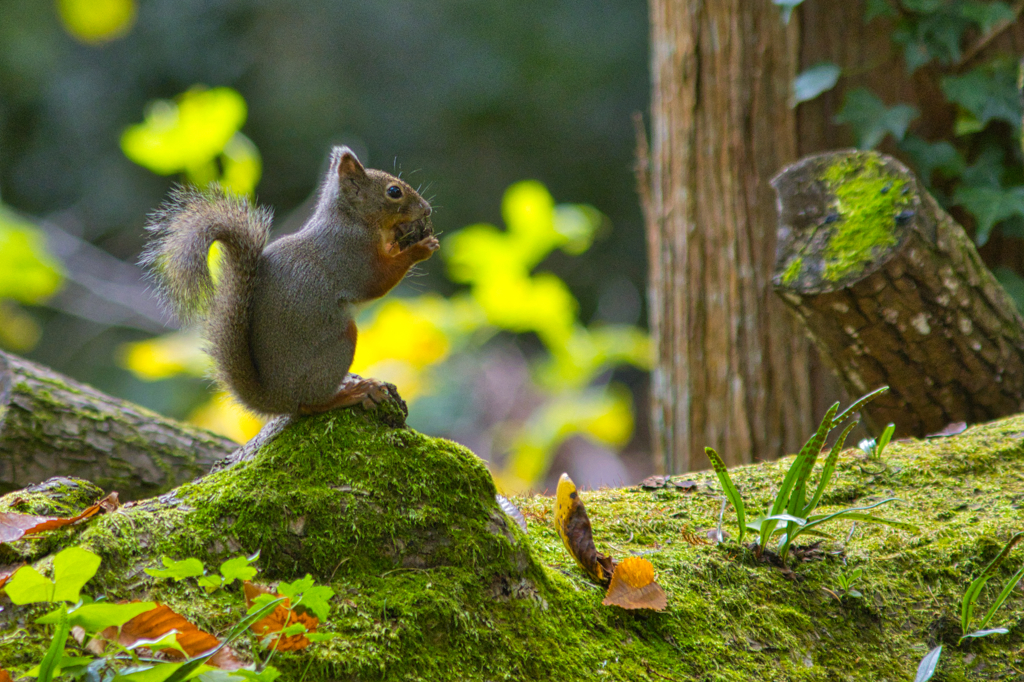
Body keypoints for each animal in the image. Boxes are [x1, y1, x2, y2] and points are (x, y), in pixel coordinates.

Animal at [142, 144, 438, 413]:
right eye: (394, 192)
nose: (427, 209)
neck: (351, 219)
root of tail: (277, 398)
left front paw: (401, 238)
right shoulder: (350, 254)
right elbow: (379, 280)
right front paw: (420, 249)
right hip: (339, 343)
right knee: (309, 404)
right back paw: (351, 393)